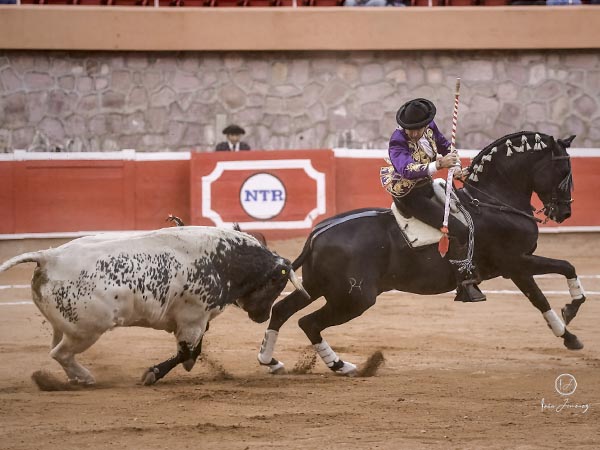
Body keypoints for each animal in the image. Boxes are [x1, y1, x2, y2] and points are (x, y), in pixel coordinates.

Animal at [0, 227, 304, 384]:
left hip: (64, 326)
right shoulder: (192, 318)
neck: (223, 261)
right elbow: (185, 351)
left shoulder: (198, 320)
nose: (261, 316)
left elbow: (193, 350)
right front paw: (152, 374)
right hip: (86, 330)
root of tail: (49, 257)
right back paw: (85, 378)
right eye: (278, 284)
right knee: (60, 354)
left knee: (57, 350)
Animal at [256, 131, 584, 376]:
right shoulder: (516, 262)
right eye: (565, 169)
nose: (565, 212)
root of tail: (317, 234)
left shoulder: (517, 268)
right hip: (354, 298)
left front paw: (569, 337)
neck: (492, 201)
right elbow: (565, 268)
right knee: (308, 322)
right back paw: (342, 366)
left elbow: (539, 299)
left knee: (282, 311)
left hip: (317, 286)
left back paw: (271, 361)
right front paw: (571, 311)